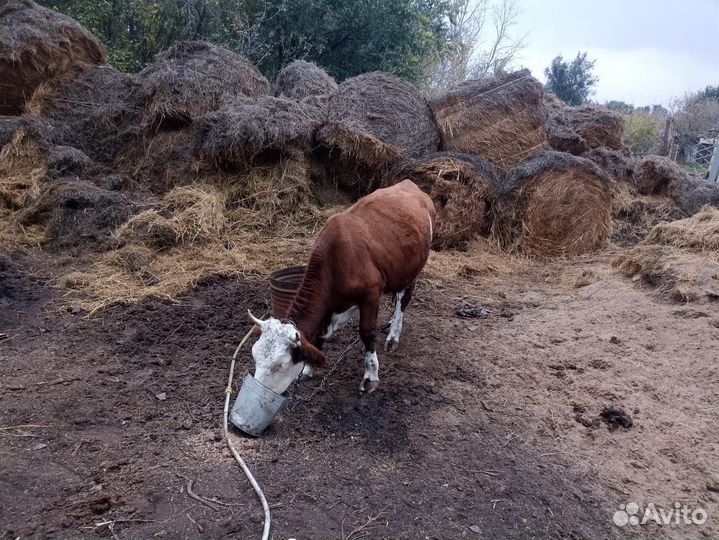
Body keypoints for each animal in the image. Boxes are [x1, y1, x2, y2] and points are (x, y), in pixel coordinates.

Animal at [247, 179, 436, 396]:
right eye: (255, 356)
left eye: (281, 364)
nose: (257, 390)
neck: (336, 261)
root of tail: (410, 183)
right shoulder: (329, 307)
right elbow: (319, 336)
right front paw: (308, 369)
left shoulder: (370, 295)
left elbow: (367, 334)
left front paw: (370, 377)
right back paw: (390, 323)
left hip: (414, 269)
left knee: (403, 300)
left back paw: (393, 336)